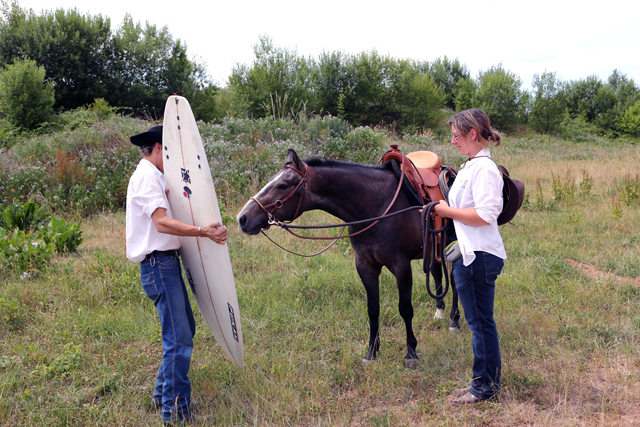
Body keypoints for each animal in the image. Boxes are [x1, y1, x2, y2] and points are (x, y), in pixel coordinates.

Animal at [238, 150, 458, 368]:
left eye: (283, 185)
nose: (243, 218)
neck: (377, 206)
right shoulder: (365, 266)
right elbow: (373, 309)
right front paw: (371, 352)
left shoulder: (401, 266)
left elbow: (405, 309)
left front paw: (411, 352)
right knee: (437, 274)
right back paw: (439, 312)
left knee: (455, 284)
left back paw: (454, 321)